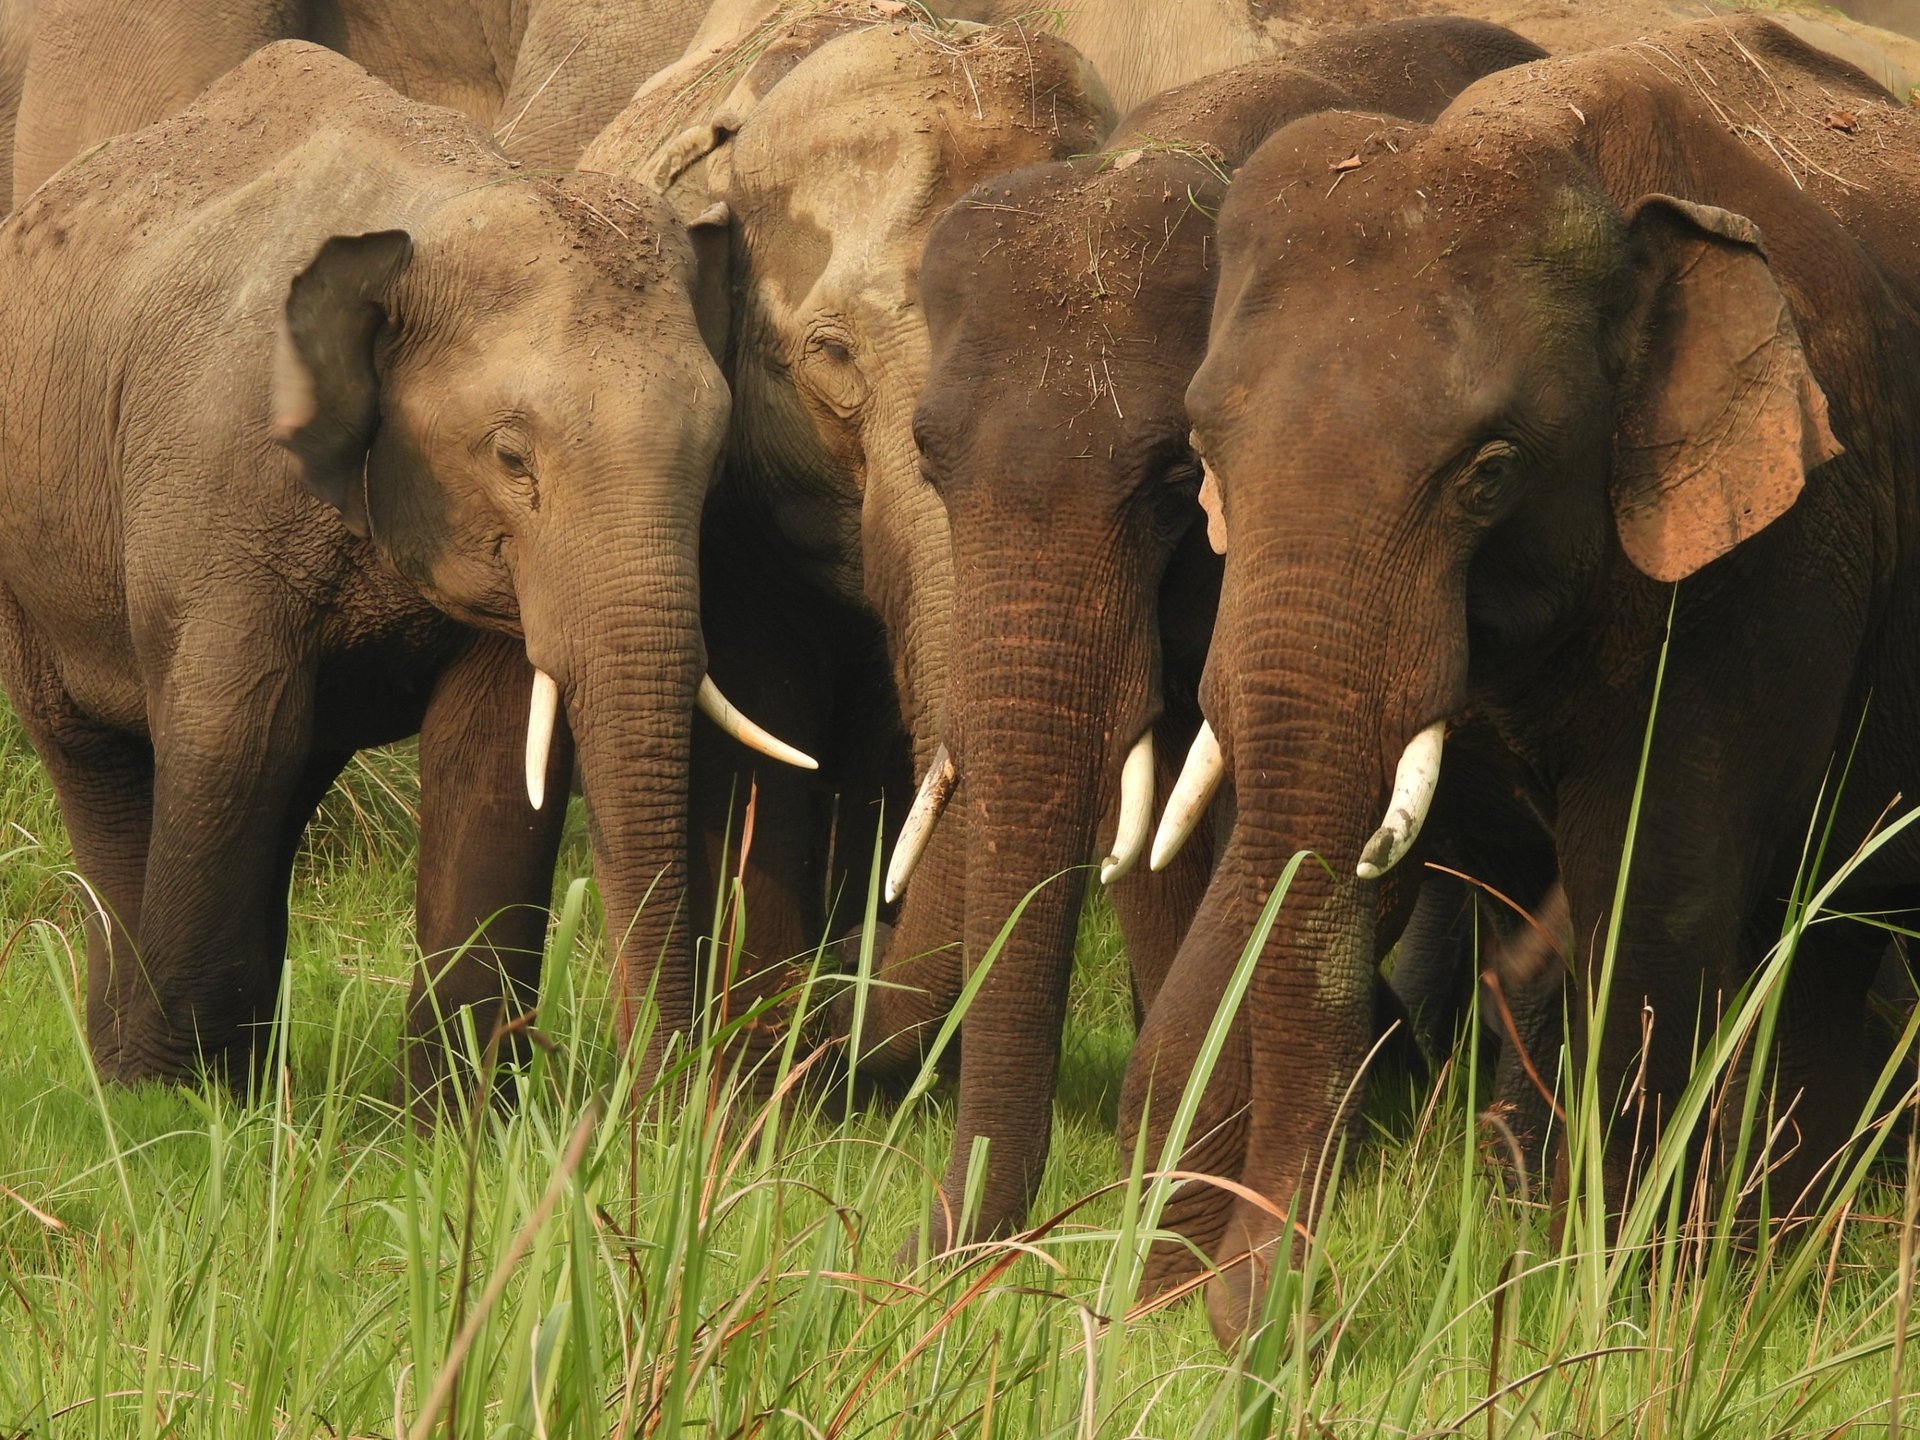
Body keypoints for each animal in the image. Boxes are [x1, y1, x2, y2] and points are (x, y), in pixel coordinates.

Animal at [0, 41, 789, 1088]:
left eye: (713, 458)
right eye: (511, 458)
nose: (658, 1098)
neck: (437, 214)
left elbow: (490, 759)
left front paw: (455, 1111)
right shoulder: (217, 486)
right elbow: (232, 736)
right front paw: (180, 1102)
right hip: (30, 562)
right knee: (105, 763)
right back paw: (128, 1081)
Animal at [1132, 15, 1920, 1341]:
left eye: (1489, 472)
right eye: (1201, 453)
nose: (1263, 1314)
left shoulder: (1776, 556)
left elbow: (1656, 895)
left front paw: (1609, 1312)